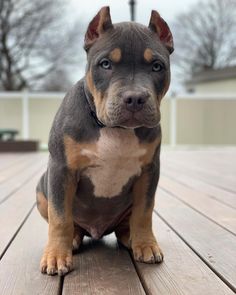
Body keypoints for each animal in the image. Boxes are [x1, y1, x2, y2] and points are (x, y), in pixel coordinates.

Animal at [36, 5, 173, 276]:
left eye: (157, 66)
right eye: (106, 64)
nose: (134, 98)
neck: (114, 129)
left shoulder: (149, 170)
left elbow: (144, 212)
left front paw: (146, 244)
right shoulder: (61, 169)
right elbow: (60, 217)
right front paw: (56, 255)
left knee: (127, 223)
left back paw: (131, 238)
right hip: (41, 190)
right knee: (69, 222)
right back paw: (73, 239)